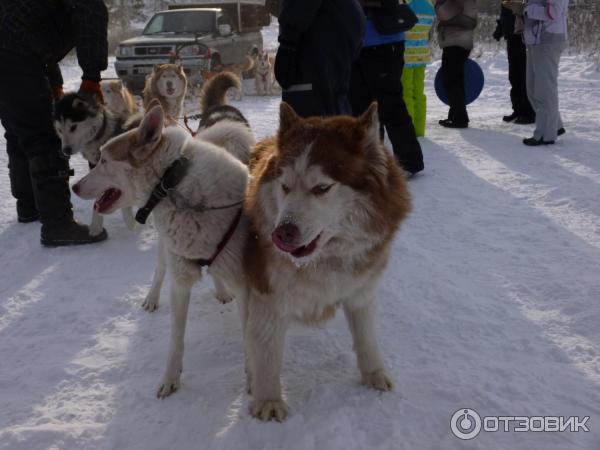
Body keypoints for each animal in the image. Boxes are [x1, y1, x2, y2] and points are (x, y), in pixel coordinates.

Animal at [73, 104, 255, 398]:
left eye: (104, 160)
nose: (74, 186)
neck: (176, 186)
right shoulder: (179, 282)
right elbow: (176, 339)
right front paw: (170, 379)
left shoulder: (246, 285)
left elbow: (251, 338)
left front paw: (254, 382)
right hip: (165, 250)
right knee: (160, 270)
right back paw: (152, 298)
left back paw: (221, 291)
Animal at [240, 103, 412, 420]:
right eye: (284, 186)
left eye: (322, 188)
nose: (282, 232)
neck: (324, 259)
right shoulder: (267, 295)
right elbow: (267, 352)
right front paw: (268, 399)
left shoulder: (361, 290)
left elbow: (366, 337)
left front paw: (373, 373)